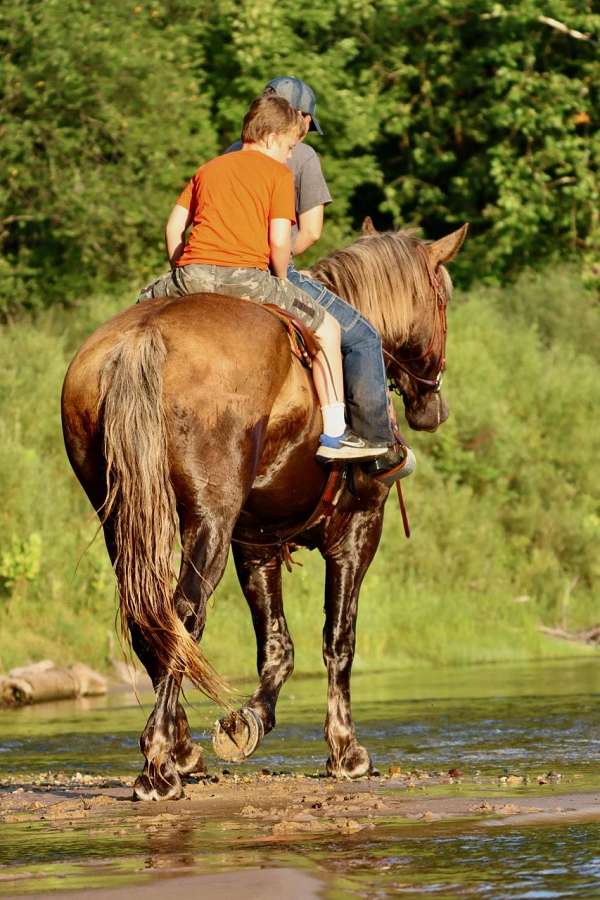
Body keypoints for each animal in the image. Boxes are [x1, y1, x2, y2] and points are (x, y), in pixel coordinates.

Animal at [59, 223, 468, 800]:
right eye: (444, 298)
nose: (434, 407)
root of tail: (143, 338)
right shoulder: (357, 531)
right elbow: (338, 640)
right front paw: (346, 751)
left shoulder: (256, 541)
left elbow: (277, 646)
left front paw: (246, 720)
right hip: (206, 522)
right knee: (183, 614)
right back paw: (159, 765)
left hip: (120, 519)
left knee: (151, 620)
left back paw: (179, 750)